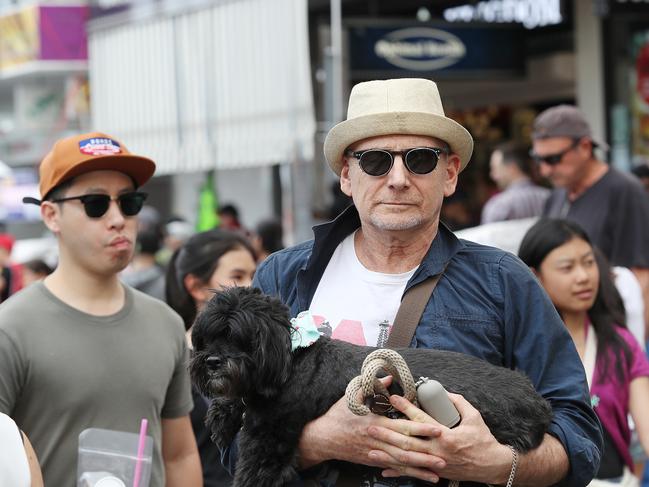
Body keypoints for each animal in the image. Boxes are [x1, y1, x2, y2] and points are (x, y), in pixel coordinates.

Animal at [189, 286, 552, 487]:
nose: (212, 361)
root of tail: (536, 401)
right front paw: (222, 415)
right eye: (208, 337)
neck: (288, 361)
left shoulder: (268, 444)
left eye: (240, 338)